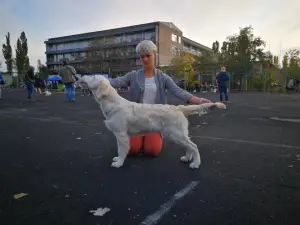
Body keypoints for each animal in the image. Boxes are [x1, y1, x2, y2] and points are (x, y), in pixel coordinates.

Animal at [78, 75, 226, 169]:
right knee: (189, 146)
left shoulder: (121, 134)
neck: (112, 103)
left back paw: (195, 164)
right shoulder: (119, 134)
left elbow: (121, 149)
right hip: (178, 135)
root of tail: (177, 108)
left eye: (92, 77)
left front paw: (119, 163)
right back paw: (187, 158)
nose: (82, 76)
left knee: (193, 146)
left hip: (176, 134)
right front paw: (117, 159)